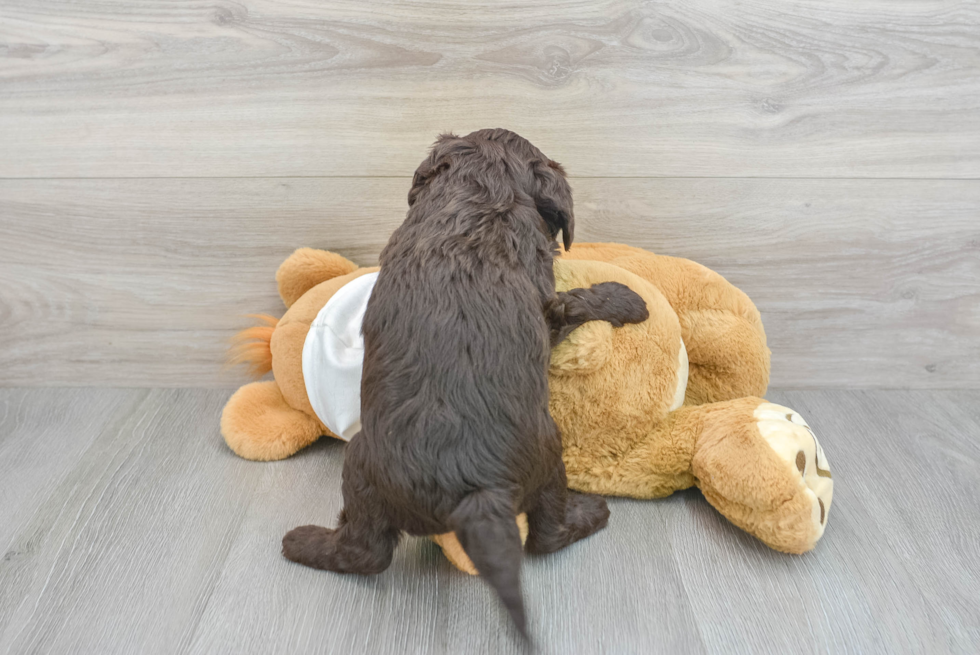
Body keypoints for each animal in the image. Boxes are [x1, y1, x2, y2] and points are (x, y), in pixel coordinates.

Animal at [284, 129, 652, 640]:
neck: (480, 198)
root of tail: (475, 492)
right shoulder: (548, 308)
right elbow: (576, 301)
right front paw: (626, 298)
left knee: (370, 550)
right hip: (538, 455)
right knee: (542, 535)